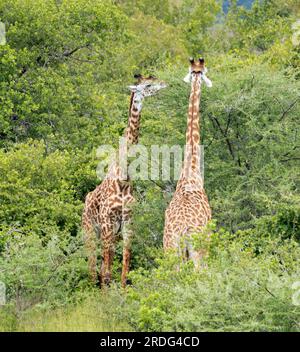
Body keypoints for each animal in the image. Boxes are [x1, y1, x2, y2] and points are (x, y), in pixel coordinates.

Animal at [82, 73, 166, 286]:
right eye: (148, 85)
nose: (165, 84)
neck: (124, 179)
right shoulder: (107, 224)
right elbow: (106, 271)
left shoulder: (128, 222)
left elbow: (125, 268)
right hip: (90, 231)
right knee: (93, 268)